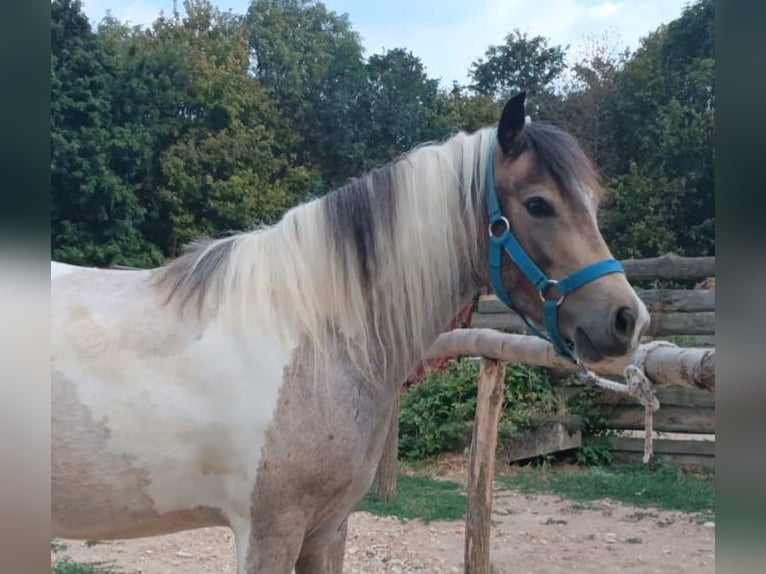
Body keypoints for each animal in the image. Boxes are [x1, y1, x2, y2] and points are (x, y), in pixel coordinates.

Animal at [51, 92, 649, 573]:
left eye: (592, 203)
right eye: (538, 204)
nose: (628, 319)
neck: (314, 341)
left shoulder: (327, 527)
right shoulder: (269, 532)